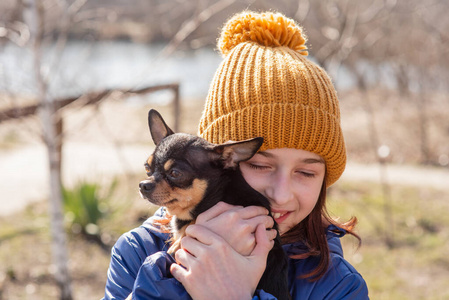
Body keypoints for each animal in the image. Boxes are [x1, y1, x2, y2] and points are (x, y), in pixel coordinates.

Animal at [138, 109, 288, 300]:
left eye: (175, 173)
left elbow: (191, 227)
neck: (215, 196)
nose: (143, 185)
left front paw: (179, 241)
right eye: (147, 168)